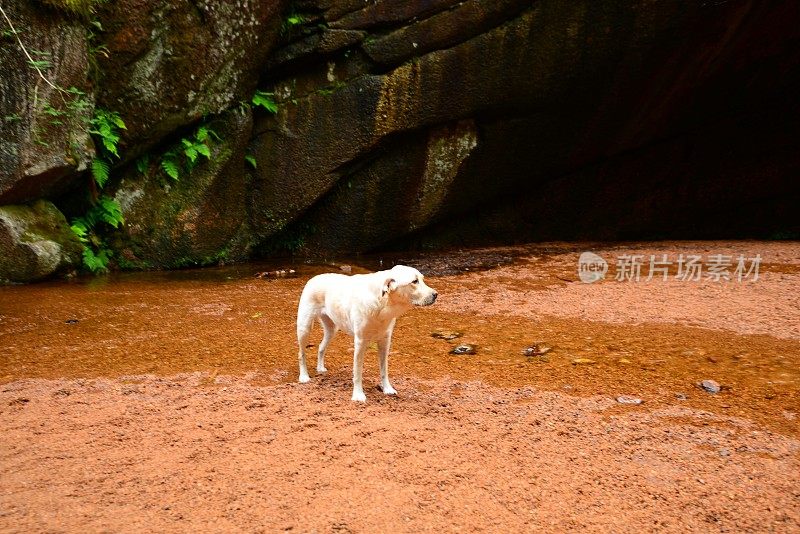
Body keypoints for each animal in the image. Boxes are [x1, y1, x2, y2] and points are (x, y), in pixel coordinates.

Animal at [296, 266, 438, 404]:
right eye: (414, 281)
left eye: (422, 279)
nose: (436, 294)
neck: (383, 304)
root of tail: (315, 277)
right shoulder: (360, 342)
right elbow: (358, 372)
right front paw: (358, 395)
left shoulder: (385, 341)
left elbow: (384, 370)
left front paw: (387, 389)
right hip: (304, 326)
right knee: (301, 353)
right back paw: (304, 376)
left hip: (332, 329)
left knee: (321, 347)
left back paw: (320, 368)